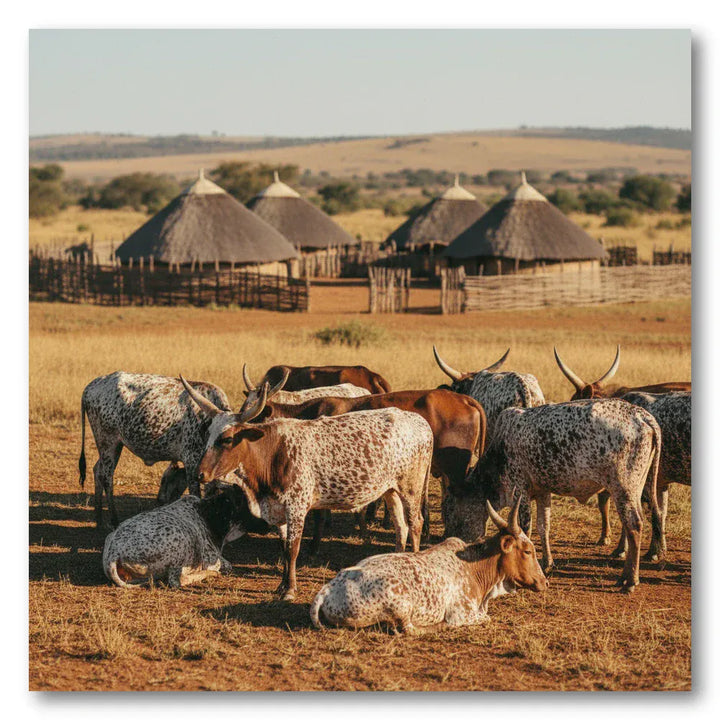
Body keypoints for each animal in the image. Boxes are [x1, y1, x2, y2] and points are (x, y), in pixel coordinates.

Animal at [79, 371, 285, 528]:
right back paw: (113, 520)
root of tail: (91, 386)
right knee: (106, 476)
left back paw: (98, 519)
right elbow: (196, 494)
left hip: (112, 446)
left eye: (227, 438)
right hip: (108, 442)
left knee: (97, 470)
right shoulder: (193, 464)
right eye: (210, 432)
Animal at [102, 484, 270, 588]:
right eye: (251, 505)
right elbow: (225, 565)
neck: (209, 514)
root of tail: (114, 554)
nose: (267, 525)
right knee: (177, 580)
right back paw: (210, 574)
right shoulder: (210, 557)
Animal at [182, 378, 434, 601]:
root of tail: (420, 422)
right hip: (390, 490)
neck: (272, 453)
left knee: (415, 524)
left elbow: (293, 548)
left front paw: (290, 590)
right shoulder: (278, 509)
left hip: (411, 489)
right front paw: (282, 585)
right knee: (400, 527)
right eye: (208, 435)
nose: (199, 474)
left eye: (226, 439)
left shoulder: (297, 506)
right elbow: (284, 547)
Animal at [310, 496, 547, 634]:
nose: (544, 582)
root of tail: (328, 589)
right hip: (401, 603)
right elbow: (484, 618)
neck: (475, 567)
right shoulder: (463, 613)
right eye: (528, 551)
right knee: (407, 629)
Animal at [443, 399, 664, 593]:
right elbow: (544, 526)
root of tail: (642, 415)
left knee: (634, 525)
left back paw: (630, 581)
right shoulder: (543, 492)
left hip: (623, 488)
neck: (500, 448)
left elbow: (526, 528)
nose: (451, 539)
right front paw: (547, 562)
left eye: (450, 511)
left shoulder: (520, 489)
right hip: (635, 488)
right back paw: (624, 576)